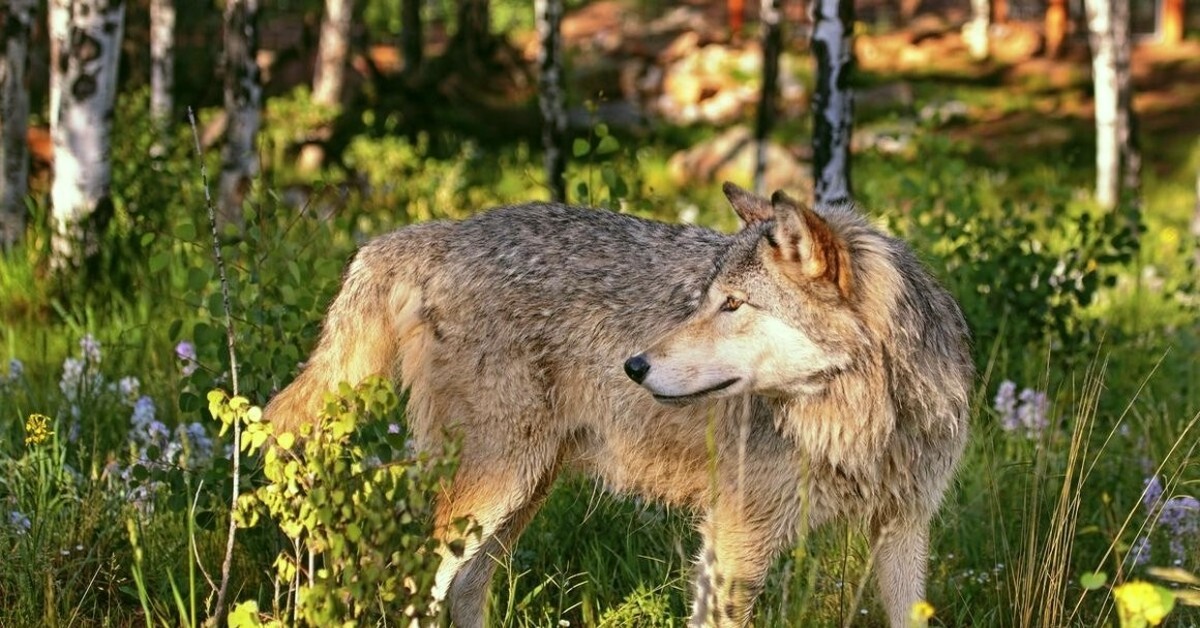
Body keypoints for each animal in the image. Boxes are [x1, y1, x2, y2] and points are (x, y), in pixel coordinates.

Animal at [265, 182, 974, 628]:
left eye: (733, 305)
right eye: (706, 300)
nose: (633, 366)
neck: (859, 418)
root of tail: (430, 233)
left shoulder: (905, 529)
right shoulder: (734, 539)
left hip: (519, 495)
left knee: (465, 588)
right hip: (494, 489)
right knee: (418, 586)